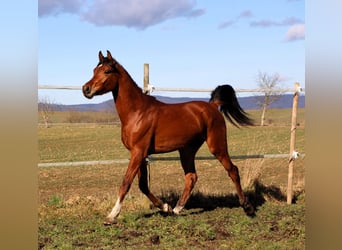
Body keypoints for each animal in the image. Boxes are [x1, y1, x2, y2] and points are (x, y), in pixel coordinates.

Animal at [82, 49, 254, 225]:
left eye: (107, 71)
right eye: (94, 70)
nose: (86, 89)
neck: (137, 112)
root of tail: (213, 106)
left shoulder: (138, 152)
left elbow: (126, 182)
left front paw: (111, 216)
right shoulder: (140, 154)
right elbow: (143, 185)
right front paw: (166, 207)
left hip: (217, 146)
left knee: (232, 170)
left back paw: (247, 207)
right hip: (187, 150)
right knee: (191, 177)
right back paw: (177, 209)